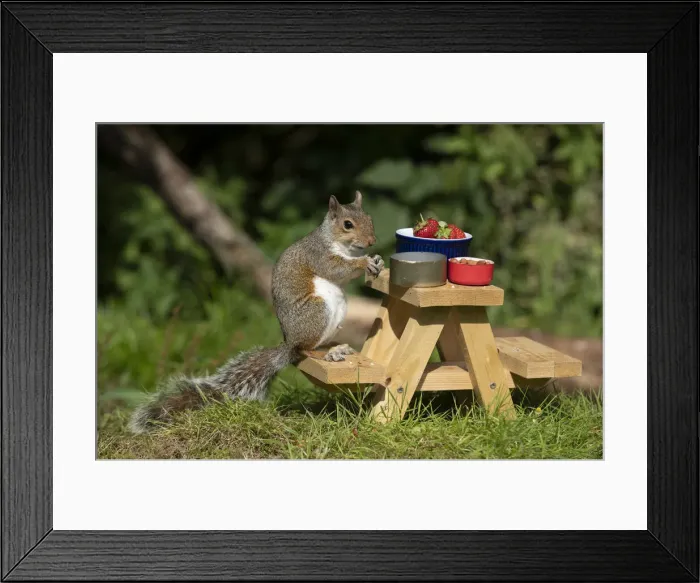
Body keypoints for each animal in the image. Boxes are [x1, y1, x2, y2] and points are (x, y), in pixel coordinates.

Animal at [129, 190, 384, 433]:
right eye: (347, 224)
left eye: (370, 218)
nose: (372, 241)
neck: (340, 243)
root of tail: (288, 342)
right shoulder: (318, 255)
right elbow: (336, 268)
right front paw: (364, 262)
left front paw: (377, 261)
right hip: (317, 310)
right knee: (303, 350)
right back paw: (323, 354)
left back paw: (335, 348)